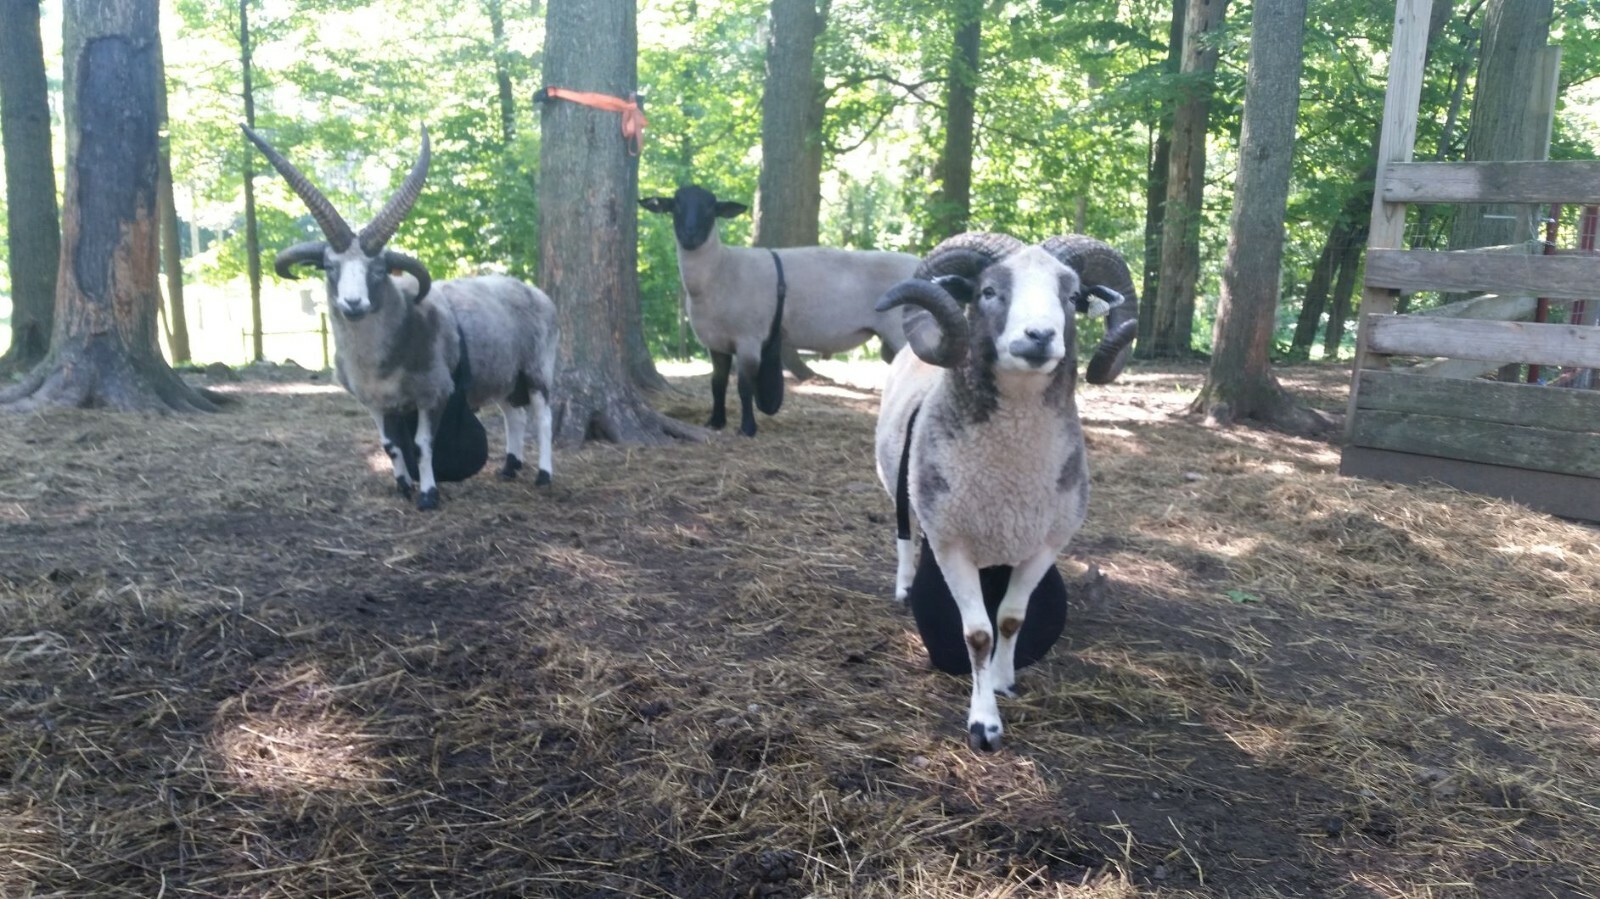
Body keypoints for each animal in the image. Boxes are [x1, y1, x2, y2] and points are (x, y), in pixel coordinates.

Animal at [243, 125, 559, 510]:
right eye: (330, 266)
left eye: (378, 269)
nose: (353, 303)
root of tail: (536, 293)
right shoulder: (375, 402)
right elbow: (391, 446)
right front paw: (403, 487)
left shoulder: (434, 395)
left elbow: (423, 446)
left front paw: (428, 495)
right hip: (502, 374)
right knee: (513, 414)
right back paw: (509, 468)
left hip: (536, 369)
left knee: (543, 418)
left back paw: (543, 475)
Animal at [640, 184, 919, 436]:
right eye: (675, 205)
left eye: (711, 207)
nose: (690, 236)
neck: (720, 270)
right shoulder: (716, 343)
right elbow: (717, 384)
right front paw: (715, 422)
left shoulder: (749, 339)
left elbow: (744, 387)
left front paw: (747, 428)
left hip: (901, 331)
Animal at [873, 231, 1138, 753]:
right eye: (989, 291)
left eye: (1072, 297)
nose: (1039, 336)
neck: (1009, 478)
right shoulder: (952, 544)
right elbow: (977, 634)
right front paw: (984, 724)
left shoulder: (1045, 544)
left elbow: (1012, 620)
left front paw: (1003, 682)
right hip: (899, 491)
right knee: (904, 536)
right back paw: (904, 585)